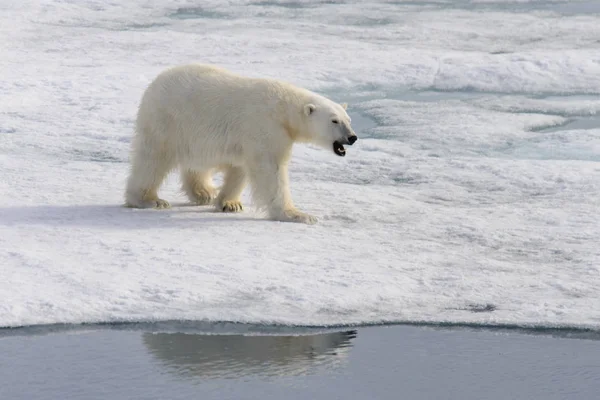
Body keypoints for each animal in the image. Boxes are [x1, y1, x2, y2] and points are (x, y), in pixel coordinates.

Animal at [122, 64, 356, 223]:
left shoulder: (249, 138)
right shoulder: (265, 128)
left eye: (348, 120)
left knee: (195, 164)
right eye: (334, 121)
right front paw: (298, 215)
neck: (283, 108)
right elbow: (270, 171)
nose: (352, 137)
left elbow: (240, 168)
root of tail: (154, 83)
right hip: (167, 121)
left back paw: (205, 192)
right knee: (153, 160)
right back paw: (150, 199)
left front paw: (229, 203)